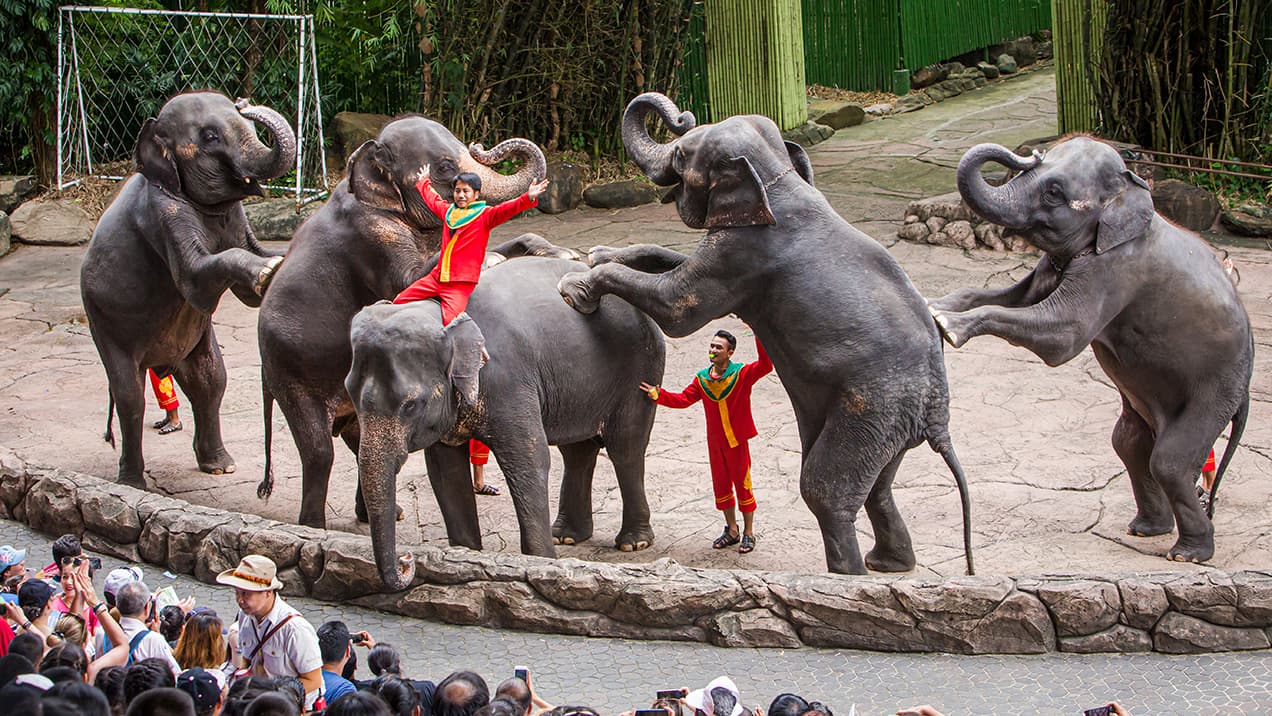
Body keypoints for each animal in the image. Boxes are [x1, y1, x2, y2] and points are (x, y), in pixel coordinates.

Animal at [81, 91, 296, 487]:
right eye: (210, 136)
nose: (245, 101)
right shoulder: (162, 212)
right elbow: (195, 280)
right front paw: (269, 270)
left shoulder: (233, 216)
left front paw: (278, 264)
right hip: (102, 320)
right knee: (129, 394)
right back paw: (132, 482)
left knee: (209, 379)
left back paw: (220, 466)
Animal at [255, 116, 554, 529]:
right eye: (444, 166)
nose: (480, 145)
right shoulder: (372, 234)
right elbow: (410, 282)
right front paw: (492, 260)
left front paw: (545, 250)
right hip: (290, 370)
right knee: (318, 450)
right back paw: (314, 526)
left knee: (357, 435)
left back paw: (383, 515)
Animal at [346, 256, 666, 589]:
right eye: (349, 393)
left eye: (410, 405)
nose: (406, 560)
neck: (440, 312)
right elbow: (445, 472)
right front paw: (465, 555)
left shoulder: (508, 379)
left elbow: (529, 458)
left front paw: (542, 562)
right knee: (576, 451)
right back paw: (566, 536)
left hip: (641, 366)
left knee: (625, 448)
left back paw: (633, 542)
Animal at [557, 92, 974, 576]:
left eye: (681, 155)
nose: (682, 115)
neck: (776, 175)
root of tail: (937, 418)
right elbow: (672, 263)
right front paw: (597, 254)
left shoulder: (745, 252)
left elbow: (677, 307)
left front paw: (576, 289)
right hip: (889, 426)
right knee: (878, 484)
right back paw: (888, 565)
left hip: (876, 407)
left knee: (824, 488)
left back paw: (850, 577)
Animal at [927, 136, 1252, 564]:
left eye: (1053, 192)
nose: (1030, 153)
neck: (1131, 192)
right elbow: (1015, 296)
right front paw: (933, 304)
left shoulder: (1117, 266)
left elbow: (1062, 335)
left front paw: (947, 326)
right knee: (1129, 443)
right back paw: (1146, 530)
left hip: (1218, 384)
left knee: (1170, 459)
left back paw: (1186, 554)